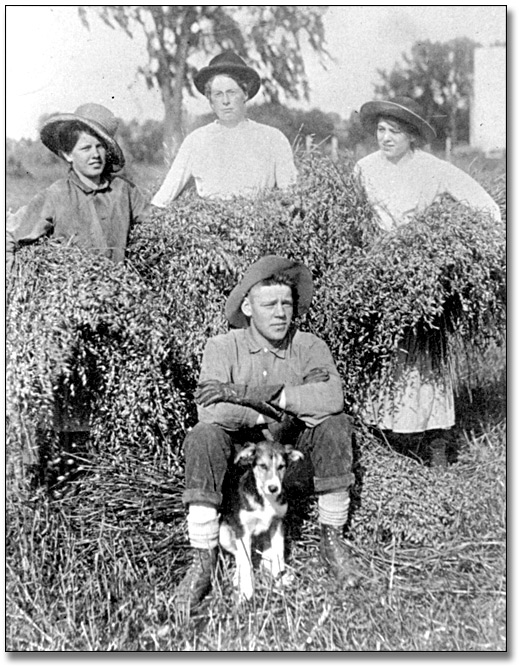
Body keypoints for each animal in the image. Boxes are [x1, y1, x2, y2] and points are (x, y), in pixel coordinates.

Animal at [218, 440, 300, 604]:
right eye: (262, 466)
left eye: (281, 466)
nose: (273, 488)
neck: (265, 498)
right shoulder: (243, 531)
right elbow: (246, 563)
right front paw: (247, 592)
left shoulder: (278, 523)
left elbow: (279, 553)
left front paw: (280, 578)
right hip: (224, 534)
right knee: (239, 556)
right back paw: (237, 578)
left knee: (265, 554)